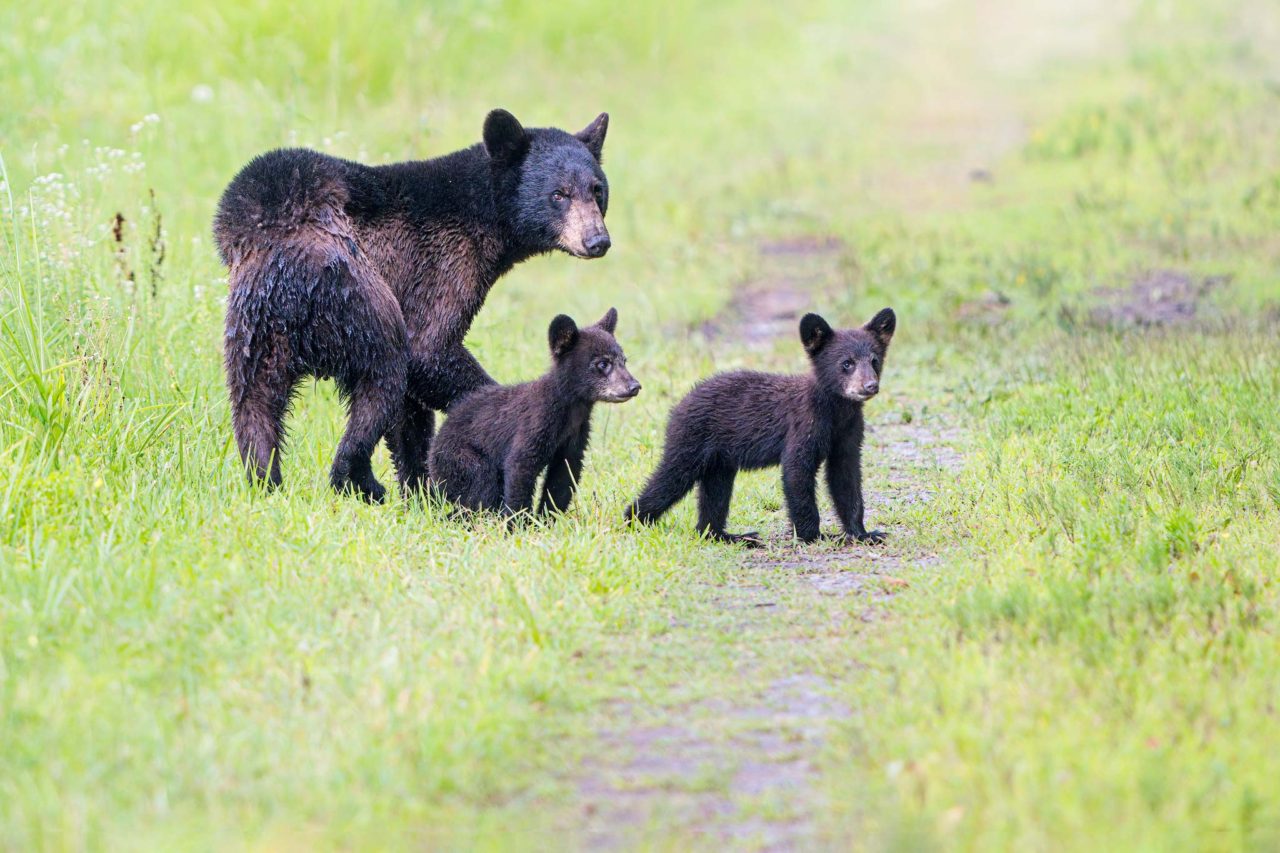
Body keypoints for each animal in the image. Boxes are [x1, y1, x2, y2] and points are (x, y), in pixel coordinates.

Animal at [212, 110, 611, 502]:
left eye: (598, 189)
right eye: (558, 194)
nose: (597, 240)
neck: (482, 218)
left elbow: (411, 415)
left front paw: (421, 488)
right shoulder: (442, 266)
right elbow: (427, 351)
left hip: (255, 326)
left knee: (254, 400)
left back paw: (267, 479)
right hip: (359, 296)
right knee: (383, 371)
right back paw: (358, 480)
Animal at [430, 307, 640, 514]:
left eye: (624, 361)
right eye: (603, 364)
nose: (634, 386)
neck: (572, 409)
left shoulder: (576, 435)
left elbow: (563, 477)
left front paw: (550, 517)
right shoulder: (536, 424)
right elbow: (520, 466)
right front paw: (518, 520)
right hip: (460, 458)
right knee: (482, 488)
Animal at [624, 308, 896, 540]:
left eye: (874, 361)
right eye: (847, 363)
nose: (870, 386)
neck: (836, 412)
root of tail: (679, 404)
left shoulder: (848, 434)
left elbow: (847, 479)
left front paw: (864, 533)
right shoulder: (804, 425)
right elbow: (797, 473)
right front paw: (813, 535)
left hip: (719, 461)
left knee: (714, 494)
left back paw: (729, 536)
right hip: (690, 441)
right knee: (669, 479)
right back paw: (635, 520)